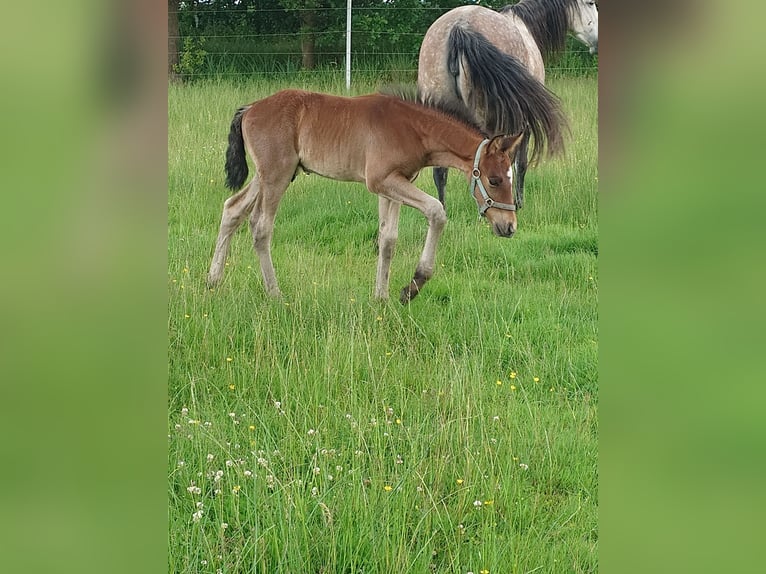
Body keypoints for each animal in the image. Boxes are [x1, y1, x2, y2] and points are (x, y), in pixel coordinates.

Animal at [206, 89, 524, 304]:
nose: (508, 226)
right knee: (261, 227)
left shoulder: (393, 185)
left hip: (269, 175)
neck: (413, 129)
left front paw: (381, 297)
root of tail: (250, 108)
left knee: (232, 209)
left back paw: (213, 281)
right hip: (276, 175)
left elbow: (388, 239)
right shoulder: (381, 181)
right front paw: (413, 285)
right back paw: (274, 292)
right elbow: (436, 210)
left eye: (510, 177)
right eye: (494, 180)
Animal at [418, 0, 599, 209]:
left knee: (440, 172)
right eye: (590, 3)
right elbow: (519, 163)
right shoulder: (523, 122)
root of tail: (460, 26)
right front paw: (518, 202)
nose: (597, 41)